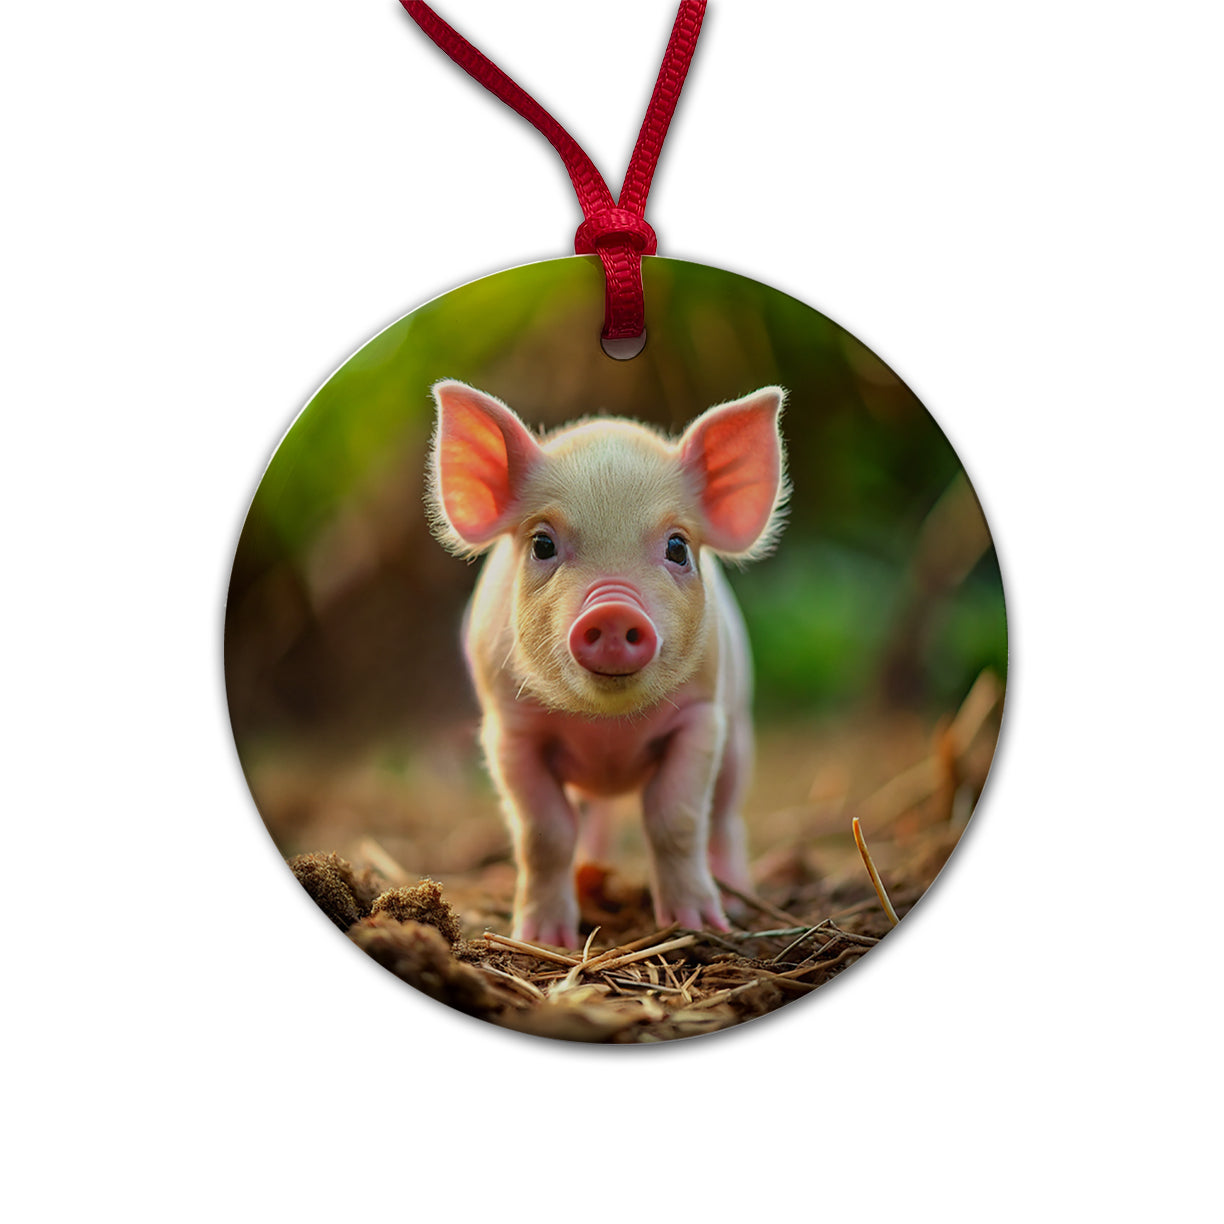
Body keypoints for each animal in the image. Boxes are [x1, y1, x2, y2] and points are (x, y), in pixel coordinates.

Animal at [426, 380, 787, 947]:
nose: (614, 610)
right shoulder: (509, 732)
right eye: (542, 543)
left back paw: (735, 903)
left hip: (740, 736)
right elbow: (544, 832)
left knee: (726, 817)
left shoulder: (702, 718)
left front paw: (696, 925)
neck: (608, 729)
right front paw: (543, 939)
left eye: (678, 547)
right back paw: (589, 878)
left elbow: (676, 817)